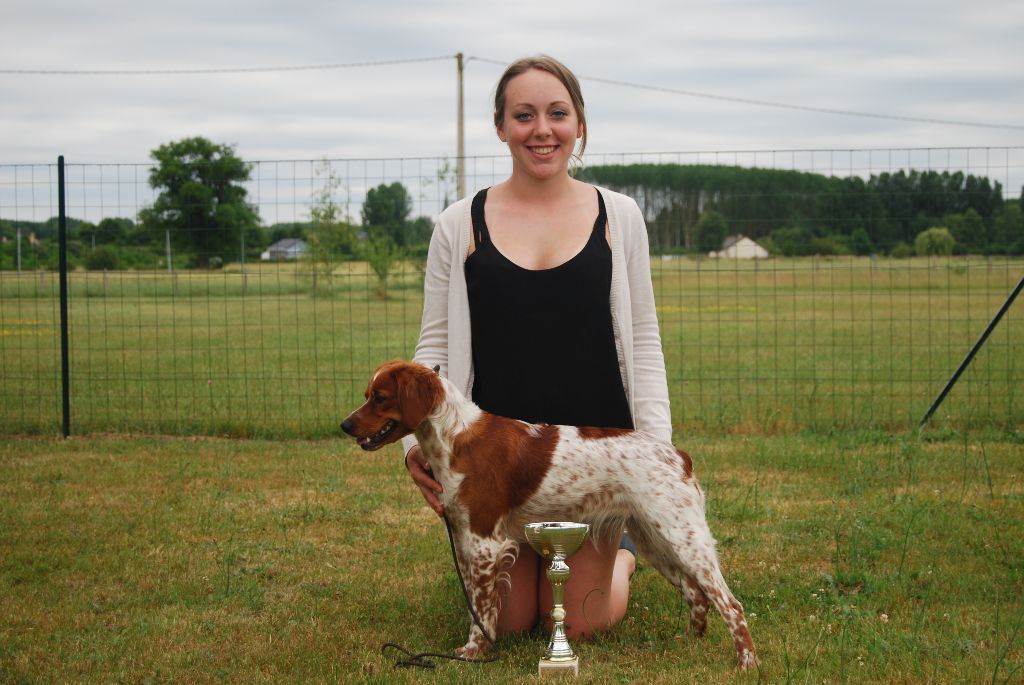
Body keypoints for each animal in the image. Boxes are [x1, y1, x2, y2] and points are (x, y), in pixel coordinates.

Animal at [339, 360, 757, 671]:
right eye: (366, 396)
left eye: (380, 397)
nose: (344, 425)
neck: (454, 437)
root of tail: (679, 455)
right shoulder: (466, 538)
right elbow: (479, 604)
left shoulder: (485, 543)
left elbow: (481, 612)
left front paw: (473, 654)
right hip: (655, 539)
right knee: (696, 594)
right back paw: (689, 644)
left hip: (683, 537)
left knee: (729, 603)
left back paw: (746, 662)